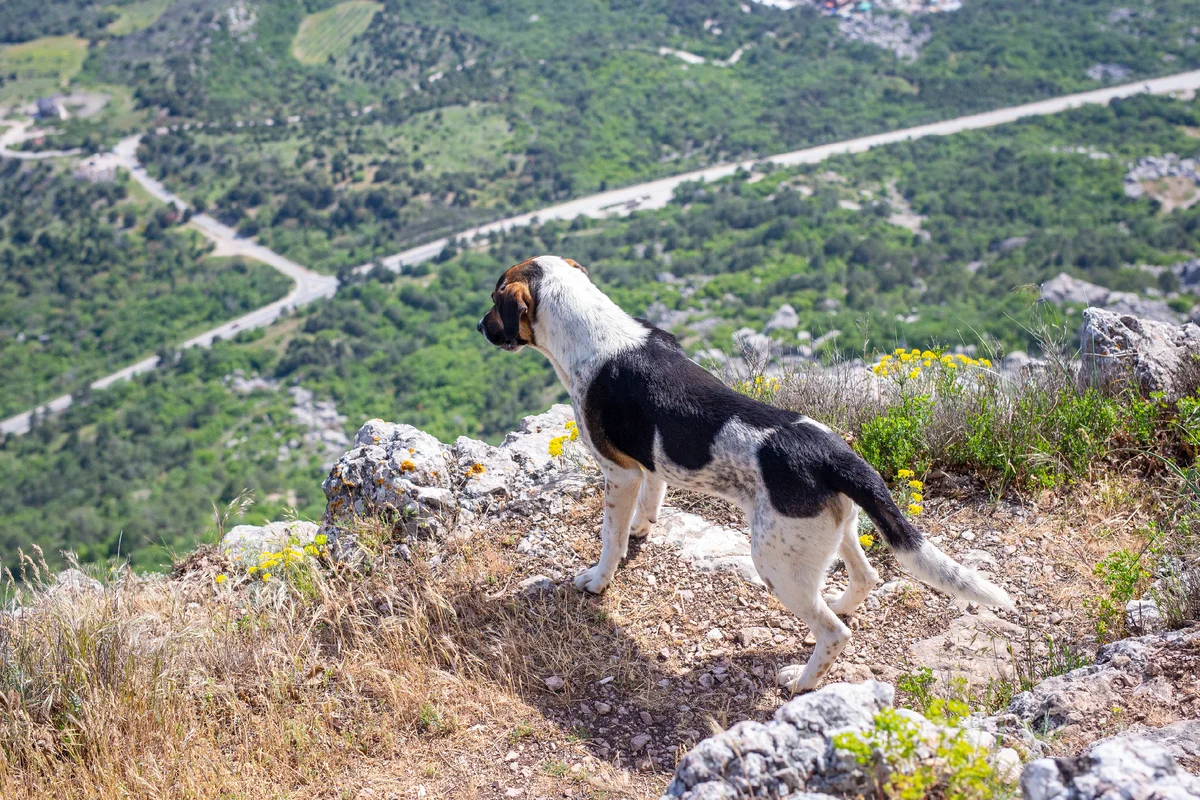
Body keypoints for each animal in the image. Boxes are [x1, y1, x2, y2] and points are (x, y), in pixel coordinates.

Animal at [477, 256, 1012, 695]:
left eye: (494, 301)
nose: (479, 327)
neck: (592, 328)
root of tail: (834, 455)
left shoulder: (619, 472)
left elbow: (610, 537)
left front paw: (598, 579)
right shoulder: (647, 465)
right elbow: (652, 498)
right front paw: (643, 529)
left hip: (775, 560)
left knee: (835, 633)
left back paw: (801, 680)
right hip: (833, 529)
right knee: (866, 578)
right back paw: (839, 602)